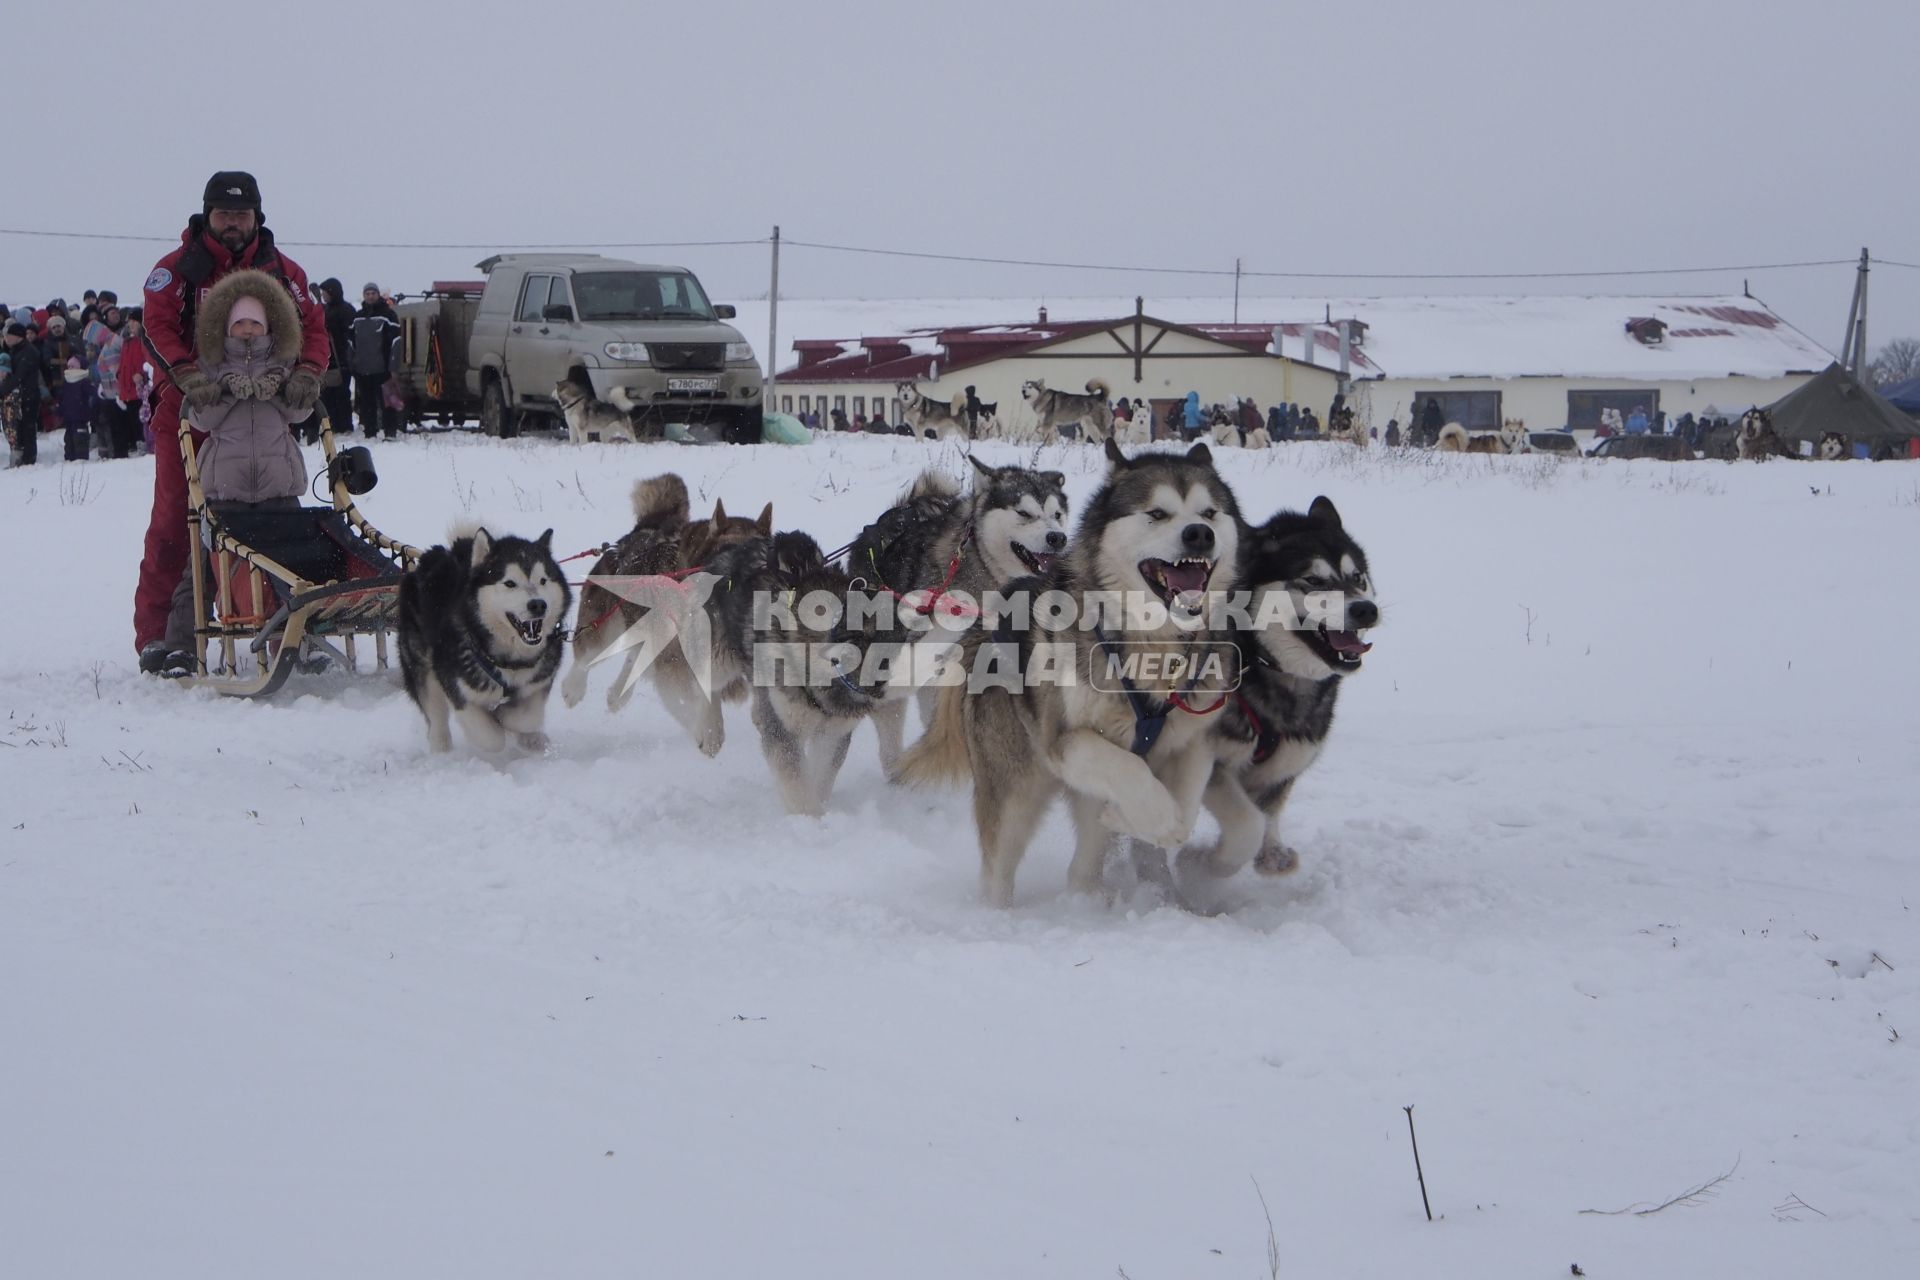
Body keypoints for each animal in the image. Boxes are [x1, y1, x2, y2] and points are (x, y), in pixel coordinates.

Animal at [560, 475, 768, 717]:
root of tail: (639, 532)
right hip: (605, 629)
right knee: (585, 658)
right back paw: (573, 689)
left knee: (635, 656)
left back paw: (618, 694)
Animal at [890, 441, 1236, 909]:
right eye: (1157, 513)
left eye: (1209, 512)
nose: (1199, 533)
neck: (1150, 645)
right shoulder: (1065, 739)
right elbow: (1133, 771)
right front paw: (1154, 817)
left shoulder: (1194, 739)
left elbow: (1185, 803)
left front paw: (1139, 818)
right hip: (1015, 789)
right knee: (999, 867)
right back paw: (999, 914)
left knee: (1082, 866)